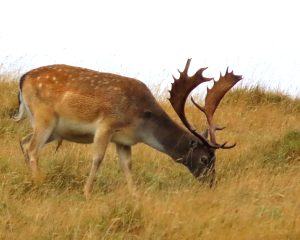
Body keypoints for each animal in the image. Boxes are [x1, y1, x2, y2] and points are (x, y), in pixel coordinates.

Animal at [14, 59, 243, 198]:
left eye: (215, 158)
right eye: (204, 158)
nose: (211, 183)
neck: (140, 120)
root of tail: (23, 78)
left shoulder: (123, 141)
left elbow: (127, 165)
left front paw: (135, 195)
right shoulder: (106, 125)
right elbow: (97, 158)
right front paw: (87, 192)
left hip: (52, 129)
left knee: (23, 141)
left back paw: (30, 178)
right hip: (45, 118)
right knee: (32, 148)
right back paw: (39, 182)